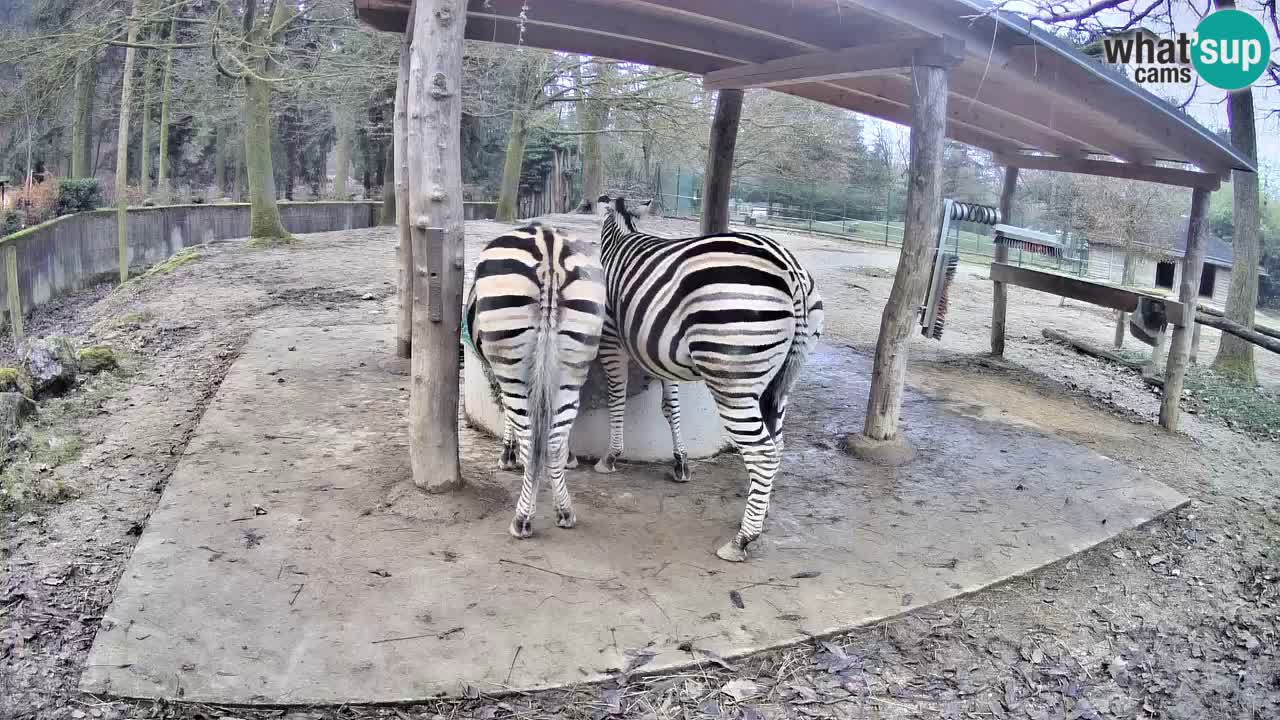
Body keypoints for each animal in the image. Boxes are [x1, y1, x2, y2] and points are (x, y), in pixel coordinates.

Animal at [463, 222, 606, 538]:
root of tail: (548, 243)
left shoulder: (497, 368)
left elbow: (508, 416)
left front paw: (507, 455)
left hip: (512, 362)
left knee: (531, 438)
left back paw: (522, 519)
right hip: (573, 363)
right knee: (553, 440)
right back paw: (564, 511)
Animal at [592, 195, 824, 562]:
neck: (621, 239)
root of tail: (790, 269)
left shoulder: (612, 337)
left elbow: (617, 397)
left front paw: (611, 456)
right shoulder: (659, 350)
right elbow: (670, 406)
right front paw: (681, 463)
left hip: (733, 381)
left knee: (763, 452)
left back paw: (742, 540)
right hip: (783, 379)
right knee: (778, 444)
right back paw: (760, 512)